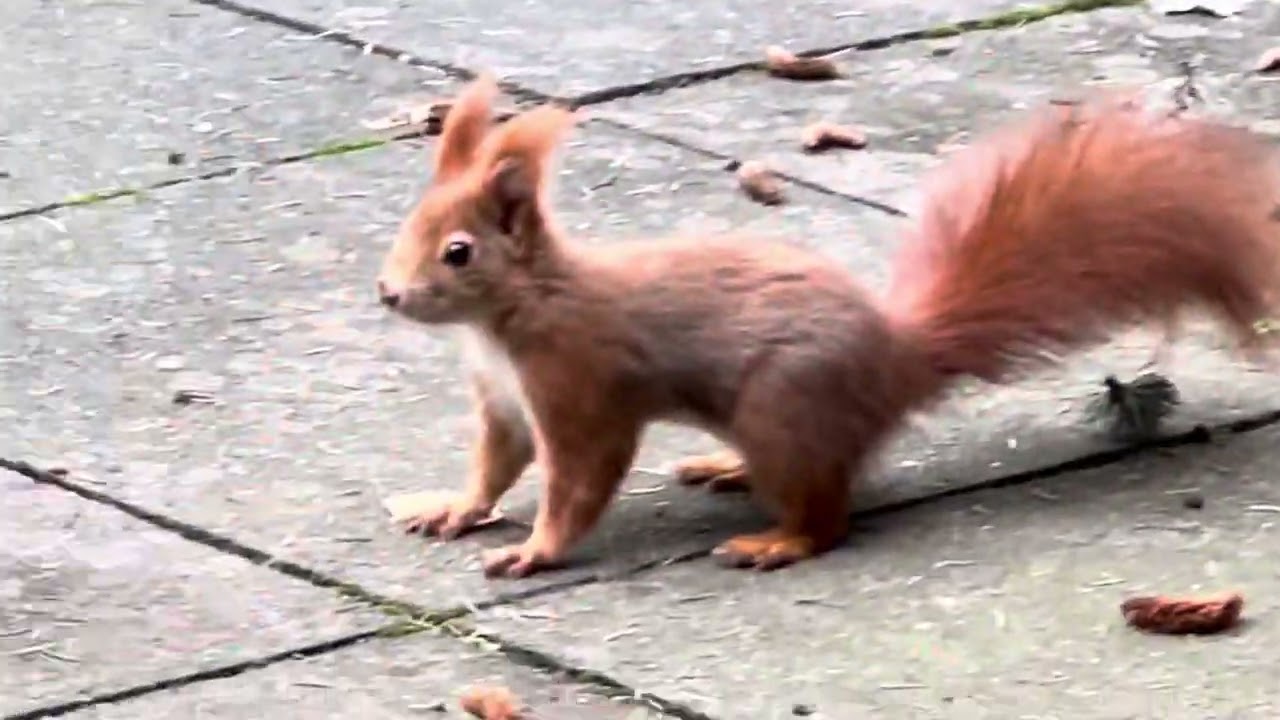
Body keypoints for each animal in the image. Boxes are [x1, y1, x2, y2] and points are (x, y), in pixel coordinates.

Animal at [375, 74, 1280, 579]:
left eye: (457, 251)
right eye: (408, 221)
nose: (387, 294)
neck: (519, 309)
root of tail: (894, 360)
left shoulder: (581, 384)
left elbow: (579, 478)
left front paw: (536, 551)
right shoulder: (504, 401)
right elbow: (497, 465)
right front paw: (454, 508)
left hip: (784, 407)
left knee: (828, 516)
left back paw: (774, 542)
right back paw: (725, 470)